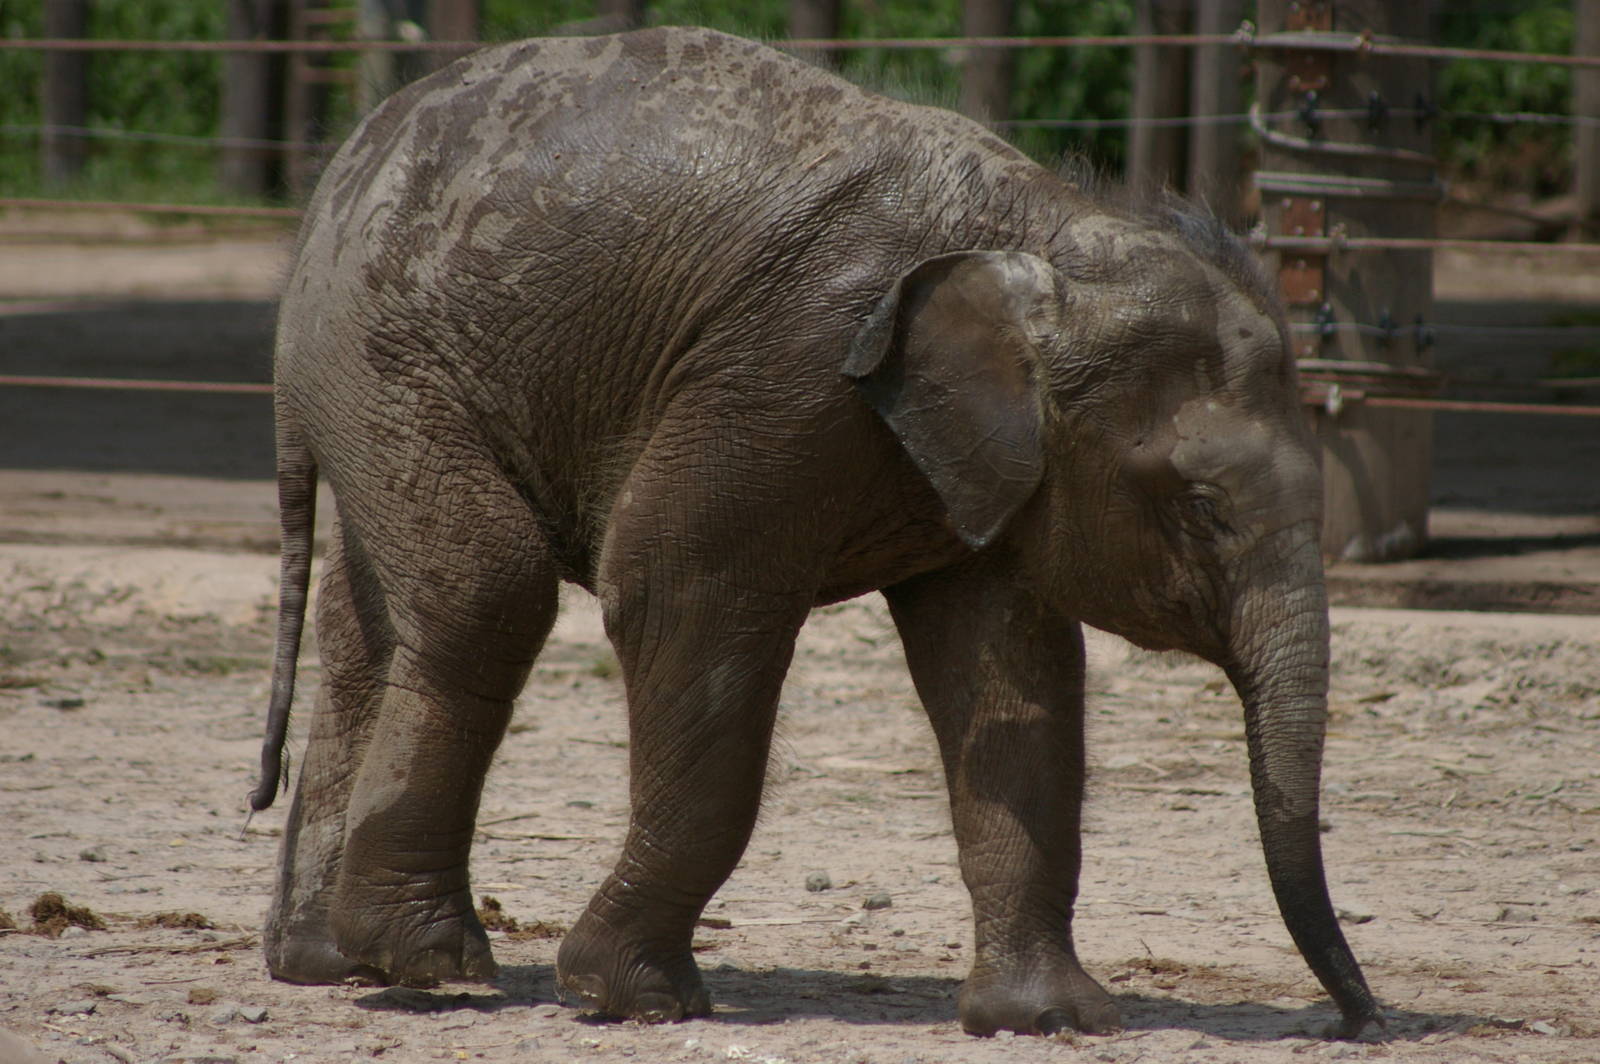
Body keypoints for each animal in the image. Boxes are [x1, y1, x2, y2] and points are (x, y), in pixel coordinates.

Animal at [249, 26, 1381, 1039]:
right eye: (1202, 505)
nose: (1356, 1021)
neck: (1045, 228)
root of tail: (330, 186)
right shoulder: (789, 368)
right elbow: (672, 590)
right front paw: (634, 996)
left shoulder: (982, 464)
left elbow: (1014, 679)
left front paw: (1052, 1020)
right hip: (385, 353)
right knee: (490, 585)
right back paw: (428, 962)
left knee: (370, 626)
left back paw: (329, 961)